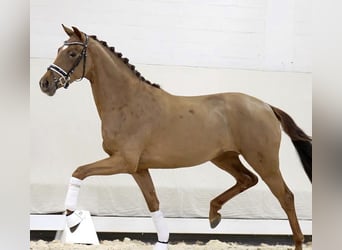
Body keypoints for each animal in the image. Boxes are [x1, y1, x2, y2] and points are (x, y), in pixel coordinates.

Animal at [38, 25, 312, 250]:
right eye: (60, 49)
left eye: (73, 53)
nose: (45, 83)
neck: (127, 102)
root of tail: (266, 106)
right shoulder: (138, 168)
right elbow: (154, 203)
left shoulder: (123, 161)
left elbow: (79, 171)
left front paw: (73, 220)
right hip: (224, 158)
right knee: (247, 179)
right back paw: (214, 214)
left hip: (264, 161)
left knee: (285, 196)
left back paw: (297, 242)